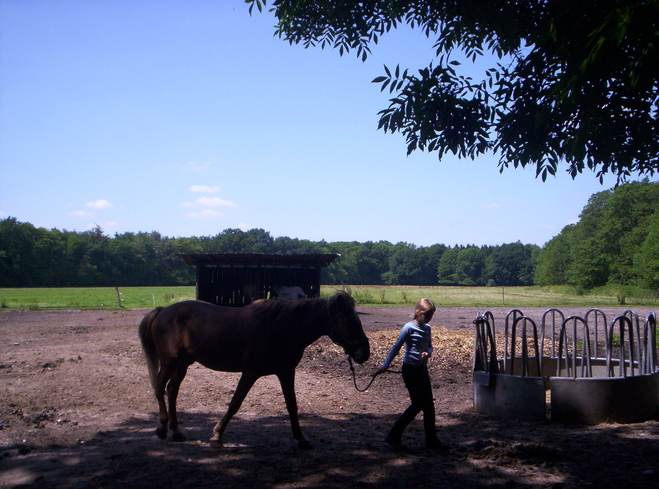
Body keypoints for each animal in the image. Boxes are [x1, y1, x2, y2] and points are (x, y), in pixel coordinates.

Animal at [138, 292, 372, 448]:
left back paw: (177, 432)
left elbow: (292, 406)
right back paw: (161, 429)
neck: (281, 327)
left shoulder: (286, 372)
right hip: (170, 361)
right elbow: (235, 403)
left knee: (172, 391)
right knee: (159, 387)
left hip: (183, 364)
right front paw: (217, 435)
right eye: (348, 320)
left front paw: (301, 438)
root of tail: (163, 311)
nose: (365, 353)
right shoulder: (250, 372)